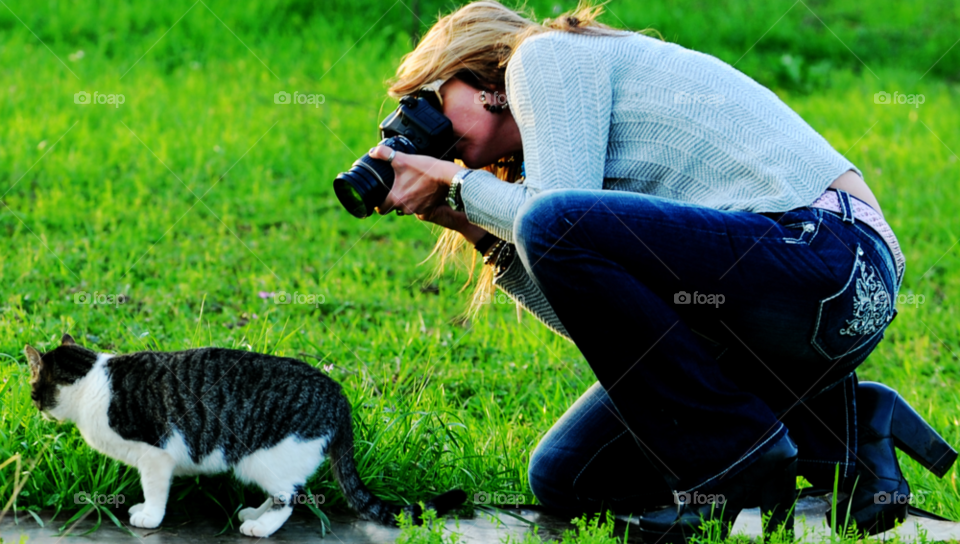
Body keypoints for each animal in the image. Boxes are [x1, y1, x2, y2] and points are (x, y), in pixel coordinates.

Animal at [24, 334, 466, 536]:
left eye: (33, 391)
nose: (34, 407)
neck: (91, 381)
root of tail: (339, 396)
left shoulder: (156, 456)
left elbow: (155, 490)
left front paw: (149, 515)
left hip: (264, 458)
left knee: (292, 497)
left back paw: (262, 527)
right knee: (285, 492)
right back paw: (255, 513)